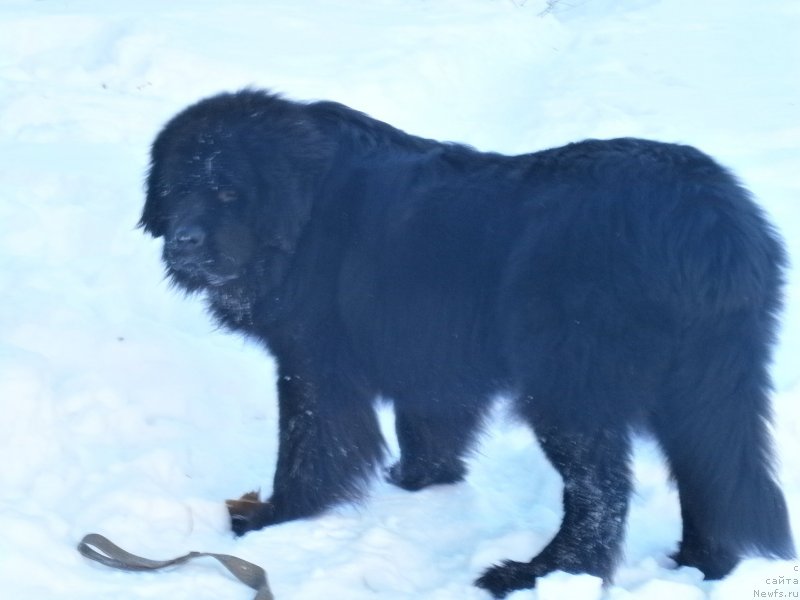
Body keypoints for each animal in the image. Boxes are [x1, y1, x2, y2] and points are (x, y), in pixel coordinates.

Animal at [139, 89, 792, 596]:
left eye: (228, 192)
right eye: (174, 190)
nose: (183, 242)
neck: (305, 213)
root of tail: (706, 219)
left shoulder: (313, 365)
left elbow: (308, 447)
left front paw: (275, 519)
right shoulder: (429, 356)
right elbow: (427, 430)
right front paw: (415, 483)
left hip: (568, 385)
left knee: (600, 493)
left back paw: (536, 575)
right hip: (709, 382)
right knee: (712, 474)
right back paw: (701, 567)